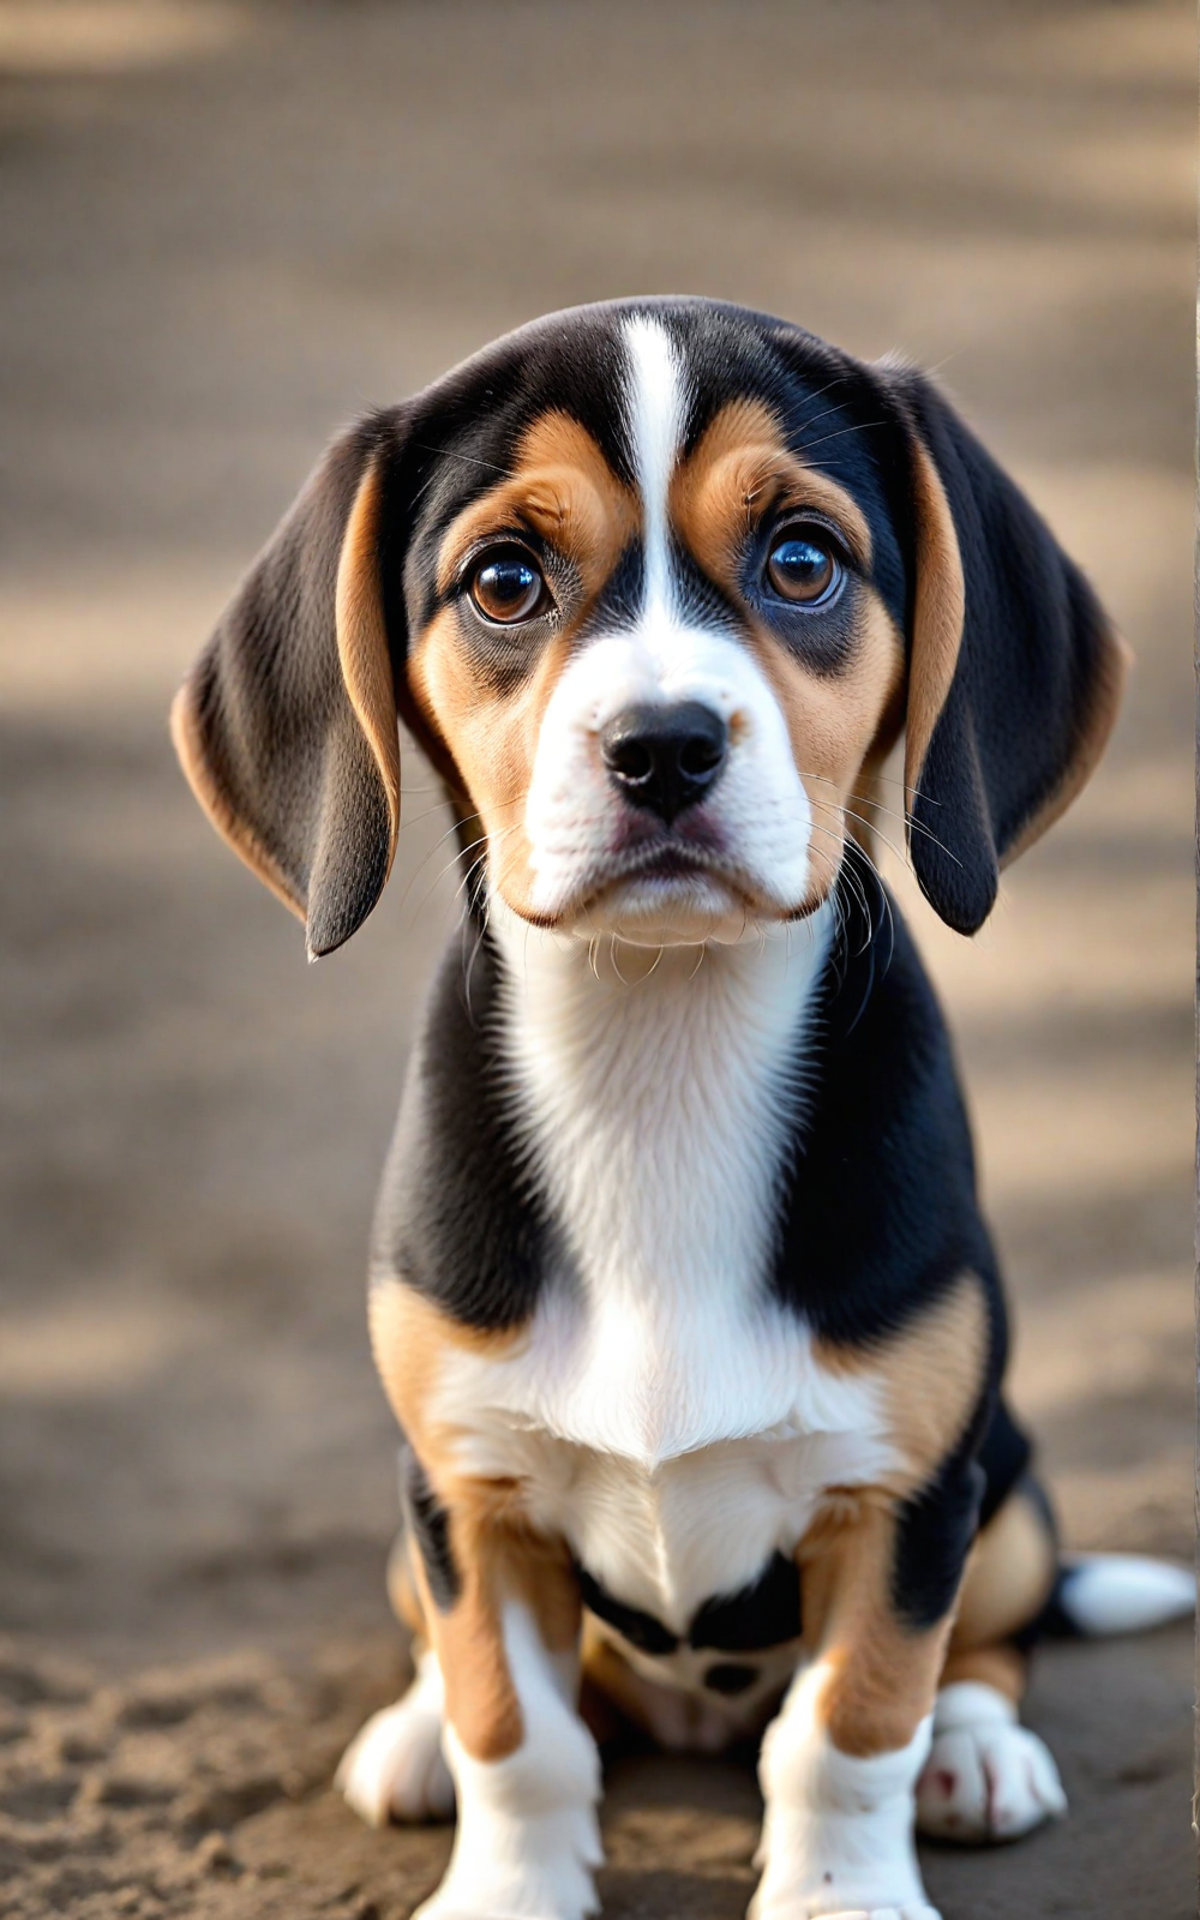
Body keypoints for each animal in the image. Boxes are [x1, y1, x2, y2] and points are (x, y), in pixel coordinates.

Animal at [170, 299, 1190, 1920]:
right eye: (504, 580)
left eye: (802, 560)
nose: (661, 745)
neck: (660, 1052)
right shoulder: (466, 1488)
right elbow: (514, 1729)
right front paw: (506, 1888)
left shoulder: (908, 1496)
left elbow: (854, 1723)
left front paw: (844, 1895)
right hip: (413, 1521)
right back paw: (408, 1736)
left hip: (1013, 1488)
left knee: (988, 1646)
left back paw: (978, 1755)